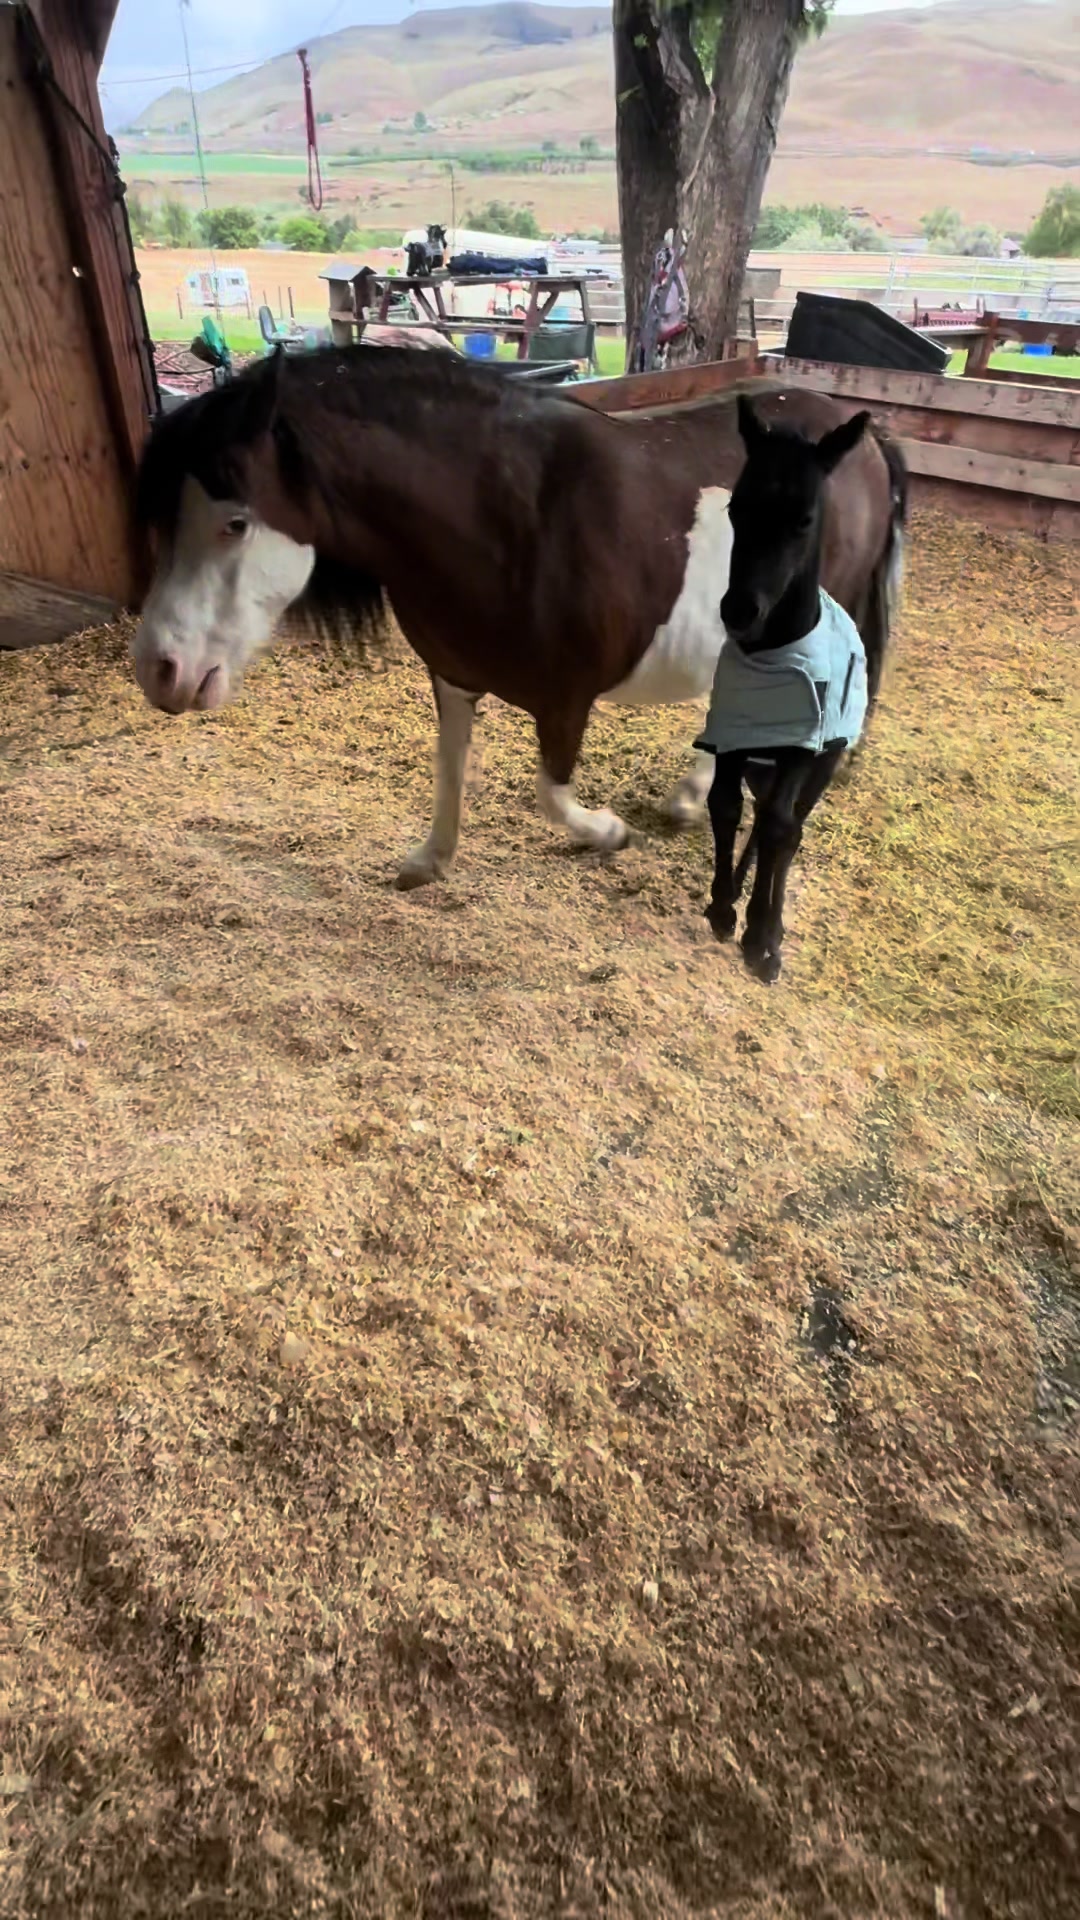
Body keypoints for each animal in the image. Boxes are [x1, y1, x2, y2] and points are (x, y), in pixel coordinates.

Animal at [130, 346, 906, 892]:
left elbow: (552, 795)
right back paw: (690, 794)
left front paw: (608, 833)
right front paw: (430, 861)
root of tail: (865, 439)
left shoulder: (566, 701)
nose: (158, 670)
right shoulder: (454, 674)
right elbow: (449, 769)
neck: (512, 519)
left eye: (234, 522)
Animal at [698, 395, 904, 984]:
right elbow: (725, 805)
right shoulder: (731, 737)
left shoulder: (799, 749)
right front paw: (722, 906)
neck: (774, 654)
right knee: (769, 815)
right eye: (736, 508)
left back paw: (767, 928)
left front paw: (762, 940)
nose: (739, 611)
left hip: (821, 760)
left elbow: (779, 828)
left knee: (790, 828)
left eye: (805, 519)